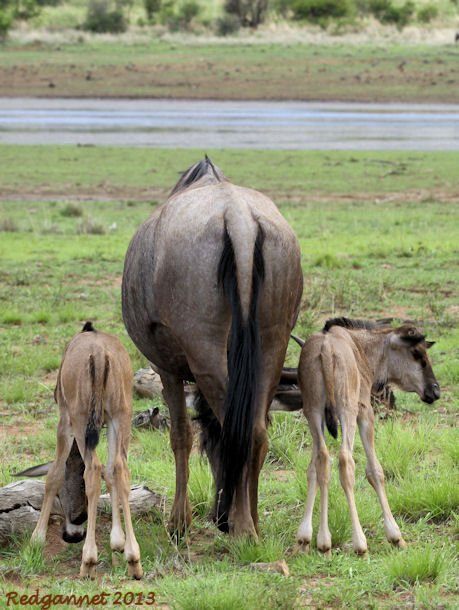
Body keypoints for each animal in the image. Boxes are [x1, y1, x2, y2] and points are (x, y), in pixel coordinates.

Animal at [29, 320, 143, 576]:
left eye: (62, 496)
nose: (71, 535)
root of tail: (100, 354)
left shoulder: (64, 421)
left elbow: (54, 474)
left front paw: (37, 538)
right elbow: (110, 475)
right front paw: (117, 541)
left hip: (80, 420)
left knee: (92, 470)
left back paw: (88, 559)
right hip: (121, 416)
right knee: (120, 469)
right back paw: (134, 558)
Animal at [296, 318, 440, 556]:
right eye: (417, 353)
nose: (435, 390)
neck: (362, 349)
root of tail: (325, 350)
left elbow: (312, 469)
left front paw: (305, 537)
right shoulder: (365, 411)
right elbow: (375, 471)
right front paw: (395, 535)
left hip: (313, 411)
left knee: (322, 460)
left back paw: (322, 542)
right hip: (347, 410)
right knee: (345, 461)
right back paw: (358, 543)